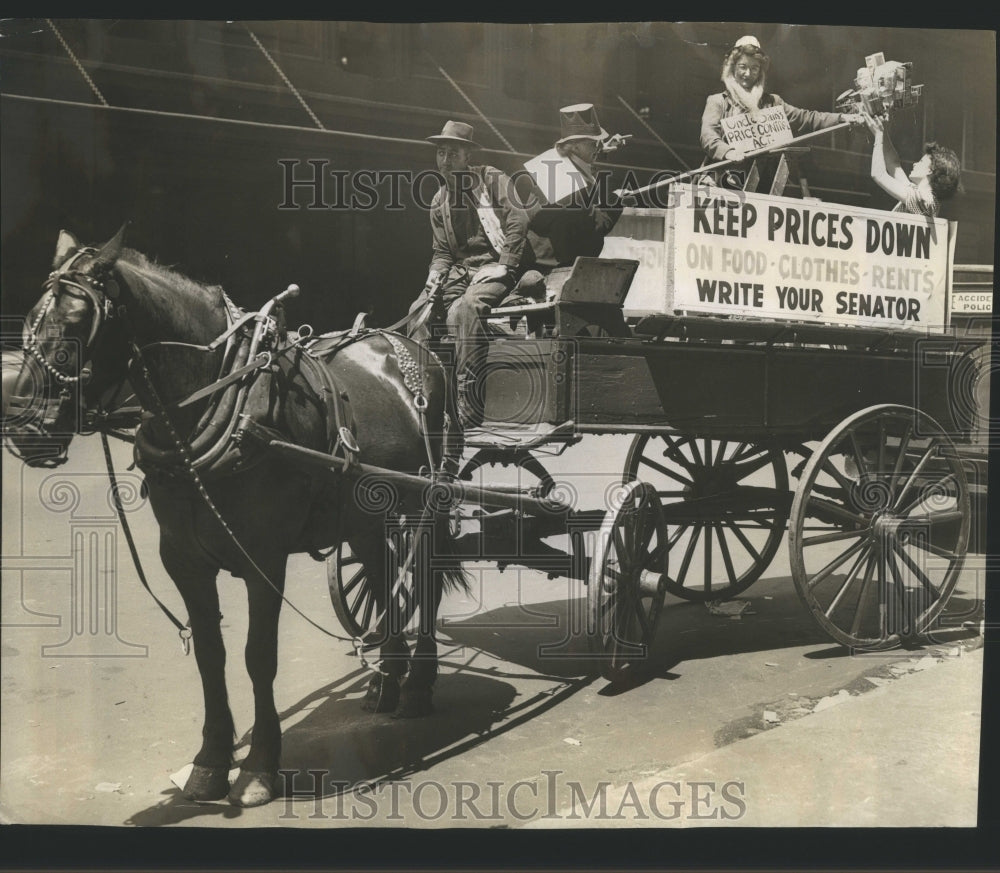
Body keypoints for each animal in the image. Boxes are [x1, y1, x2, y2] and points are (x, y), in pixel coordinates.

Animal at [2, 228, 468, 808]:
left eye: (73, 329)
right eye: (26, 323)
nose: (23, 429)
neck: (216, 404)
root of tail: (410, 343)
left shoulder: (263, 559)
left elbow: (257, 656)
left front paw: (259, 768)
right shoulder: (184, 561)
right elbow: (211, 655)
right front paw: (209, 761)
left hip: (423, 500)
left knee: (422, 578)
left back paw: (418, 683)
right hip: (365, 515)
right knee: (384, 578)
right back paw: (386, 678)